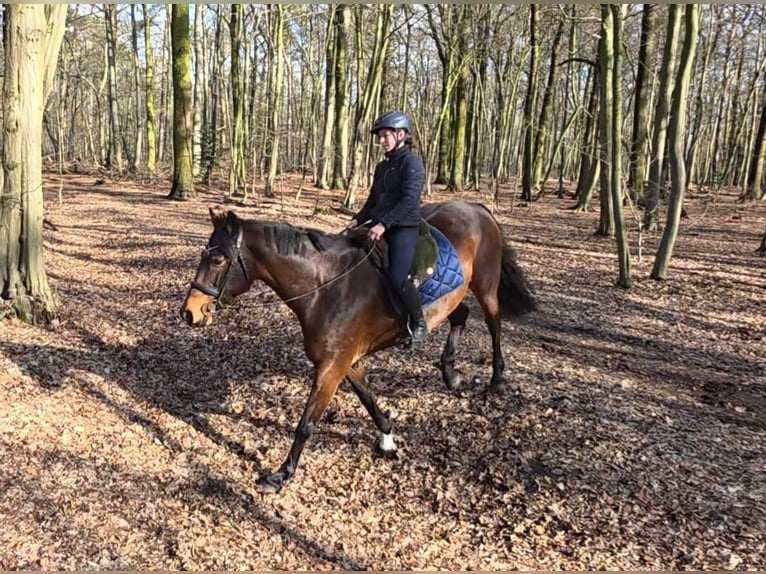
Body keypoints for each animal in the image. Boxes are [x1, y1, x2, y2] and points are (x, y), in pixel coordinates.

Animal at [180, 201, 537, 493]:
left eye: (218, 259)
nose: (190, 312)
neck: (325, 287)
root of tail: (477, 208)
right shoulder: (346, 362)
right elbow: (368, 399)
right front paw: (387, 438)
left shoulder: (331, 368)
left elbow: (306, 423)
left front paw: (281, 475)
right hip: (452, 298)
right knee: (459, 316)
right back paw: (450, 374)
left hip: (485, 288)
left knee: (494, 324)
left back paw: (497, 380)